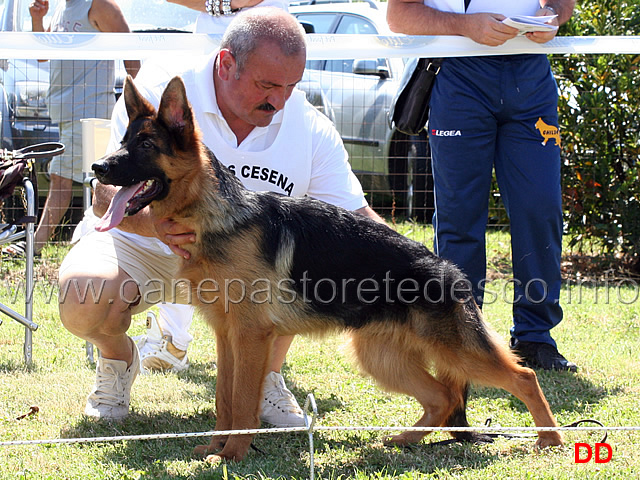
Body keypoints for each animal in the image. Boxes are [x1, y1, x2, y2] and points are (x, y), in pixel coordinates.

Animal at [92, 77, 564, 464]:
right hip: (379, 358)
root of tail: (449, 269)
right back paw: (406, 440)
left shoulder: (250, 336)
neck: (218, 216)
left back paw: (551, 440)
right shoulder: (228, 336)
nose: (97, 168)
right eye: (123, 140)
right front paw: (217, 446)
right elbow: (224, 400)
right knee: (443, 397)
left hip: (455, 352)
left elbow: (242, 401)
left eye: (146, 146)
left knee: (522, 377)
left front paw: (232, 455)